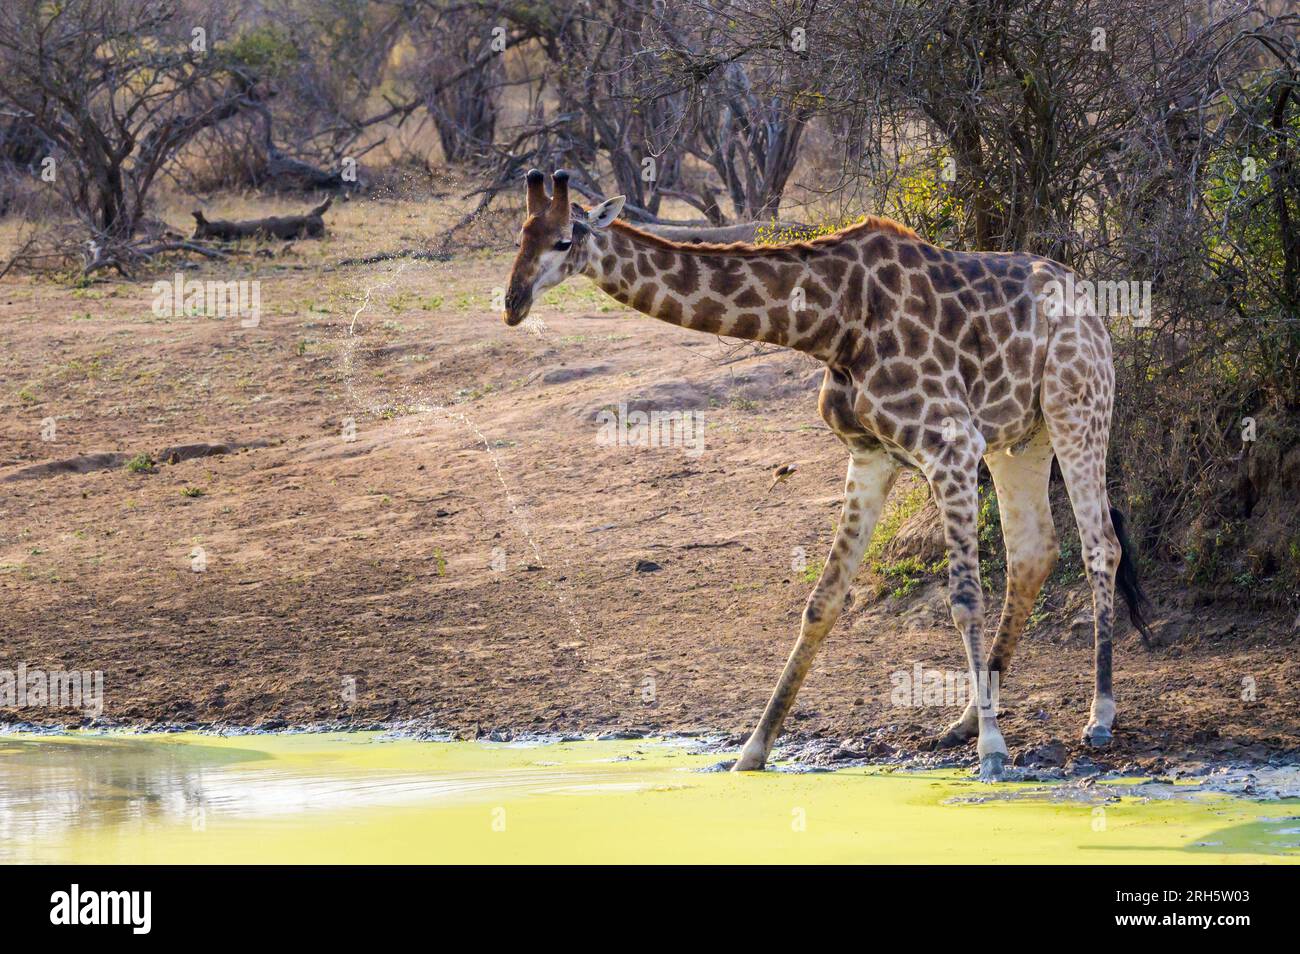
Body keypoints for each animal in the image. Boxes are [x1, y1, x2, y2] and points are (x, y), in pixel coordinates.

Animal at [503, 170, 1151, 779]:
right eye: (520, 237)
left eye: (564, 240)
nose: (512, 303)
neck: (833, 323)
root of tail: (1089, 301)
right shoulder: (869, 455)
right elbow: (823, 600)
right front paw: (752, 752)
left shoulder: (949, 444)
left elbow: (965, 597)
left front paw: (994, 752)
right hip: (1019, 439)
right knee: (1034, 551)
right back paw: (967, 718)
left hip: (1077, 407)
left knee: (1100, 544)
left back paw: (1098, 715)